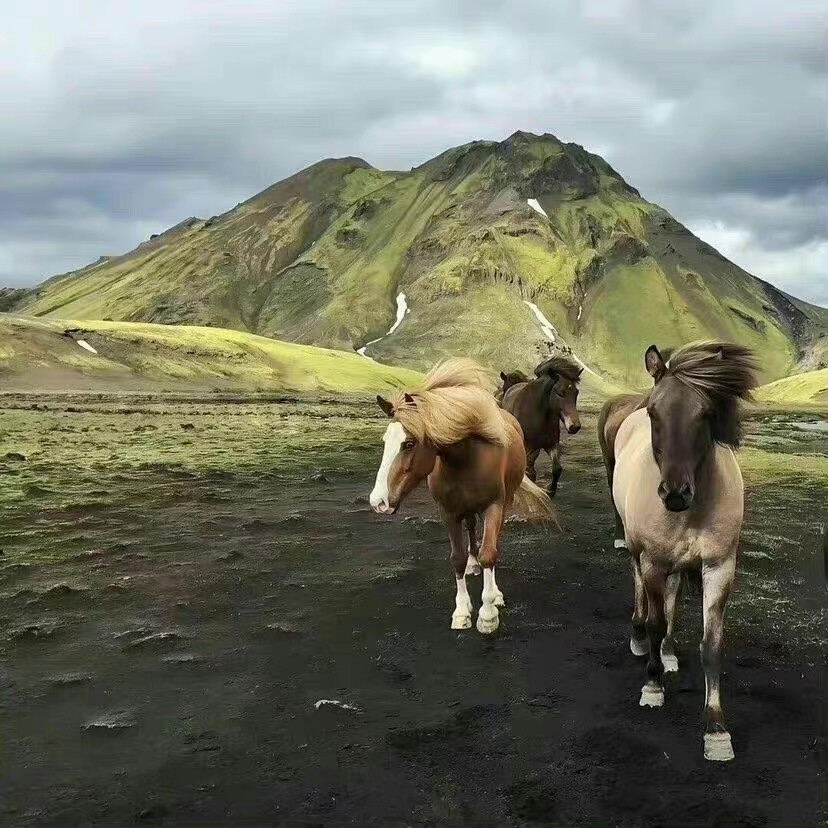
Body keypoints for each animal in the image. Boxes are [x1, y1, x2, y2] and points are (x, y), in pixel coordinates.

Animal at [498, 354, 584, 494]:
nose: (574, 426)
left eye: (576, 392)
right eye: (560, 392)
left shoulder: (551, 444)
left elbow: (557, 469)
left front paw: (550, 491)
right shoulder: (528, 447)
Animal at [600, 342, 760, 764]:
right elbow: (656, 621)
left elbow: (711, 644)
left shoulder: (719, 567)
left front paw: (716, 728)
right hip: (639, 555)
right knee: (642, 593)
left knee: (670, 600)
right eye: (655, 412)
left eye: (704, 413)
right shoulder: (654, 562)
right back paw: (642, 639)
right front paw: (653, 686)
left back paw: (670, 652)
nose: (674, 494)